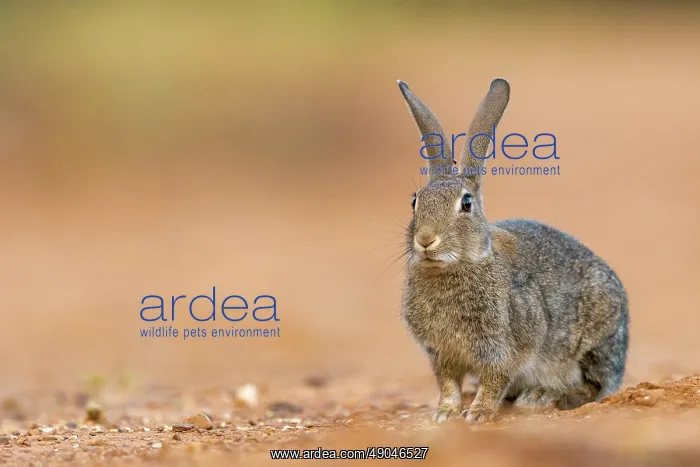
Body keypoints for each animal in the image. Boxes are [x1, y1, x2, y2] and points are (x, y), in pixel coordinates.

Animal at [397, 78, 629, 423]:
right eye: (415, 202)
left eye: (466, 203)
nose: (425, 239)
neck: (458, 265)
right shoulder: (442, 354)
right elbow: (448, 384)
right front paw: (445, 413)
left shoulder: (504, 345)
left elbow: (495, 379)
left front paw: (479, 413)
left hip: (593, 342)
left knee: (591, 388)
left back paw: (539, 397)